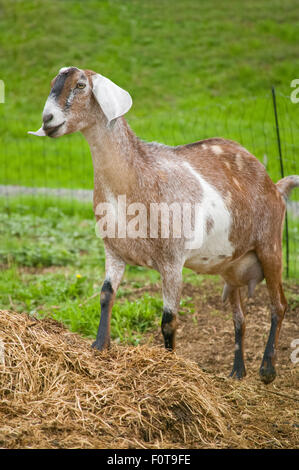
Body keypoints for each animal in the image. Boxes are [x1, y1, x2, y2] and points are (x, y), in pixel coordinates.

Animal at [28, 66, 299, 382]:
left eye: (81, 85)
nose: (48, 120)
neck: (134, 178)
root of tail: (275, 186)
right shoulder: (114, 251)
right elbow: (106, 295)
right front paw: (98, 346)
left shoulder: (172, 260)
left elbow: (168, 320)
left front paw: (170, 366)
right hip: (232, 267)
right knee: (239, 318)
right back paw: (237, 372)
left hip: (270, 246)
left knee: (279, 304)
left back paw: (267, 369)